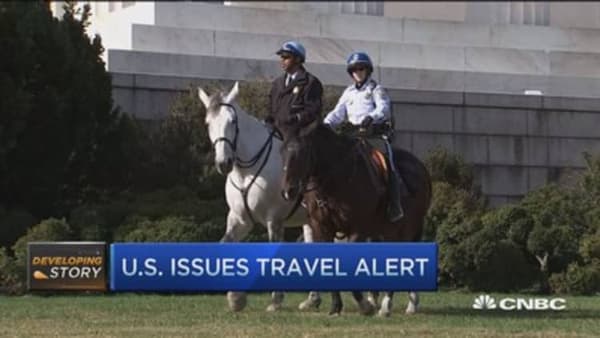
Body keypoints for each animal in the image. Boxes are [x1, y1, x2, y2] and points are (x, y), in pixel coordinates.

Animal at [198, 81, 322, 312]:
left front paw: (275, 300)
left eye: (232, 121)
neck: (245, 171)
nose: (224, 163)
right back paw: (313, 299)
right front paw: (236, 298)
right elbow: (225, 245)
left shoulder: (274, 220)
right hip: (311, 220)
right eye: (208, 123)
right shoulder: (240, 220)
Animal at [280, 123, 432, 318]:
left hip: (403, 229)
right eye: (282, 151)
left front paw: (364, 306)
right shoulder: (321, 228)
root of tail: (420, 167)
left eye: (302, 152)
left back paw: (388, 306)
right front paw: (336, 306)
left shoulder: (358, 228)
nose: (287, 191)